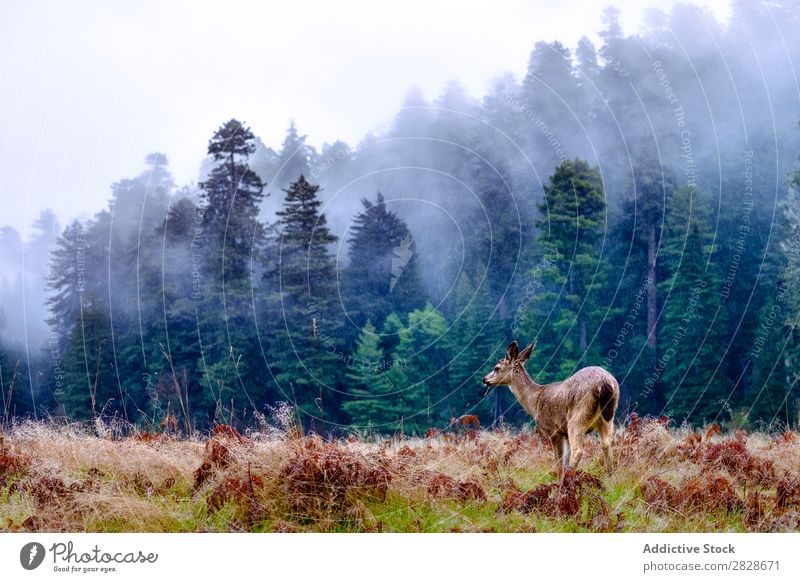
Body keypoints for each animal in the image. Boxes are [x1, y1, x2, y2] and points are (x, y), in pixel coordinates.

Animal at [482, 340, 620, 482]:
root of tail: (604, 383)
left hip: (577, 417)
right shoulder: (564, 433)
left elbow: (558, 462)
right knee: (606, 444)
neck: (535, 402)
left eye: (496, 368)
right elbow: (564, 460)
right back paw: (610, 479)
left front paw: (559, 483)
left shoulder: (552, 430)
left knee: (578, 451)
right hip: (607, 418)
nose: (484, 379)